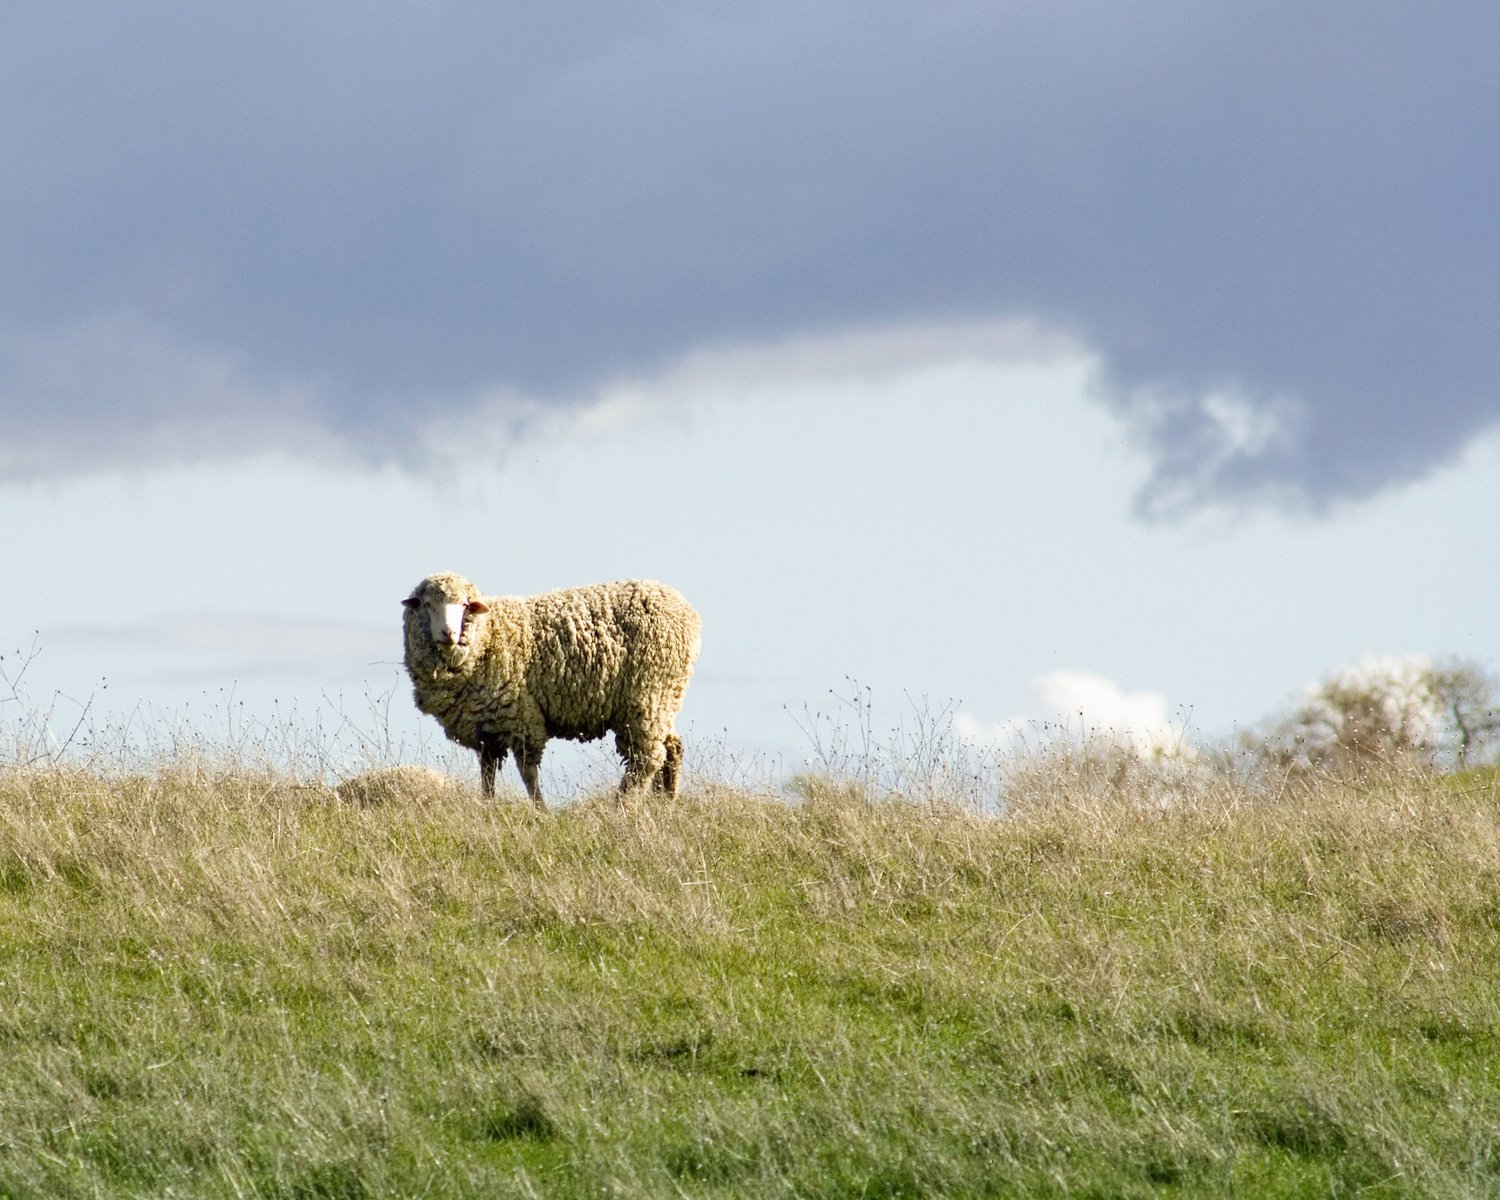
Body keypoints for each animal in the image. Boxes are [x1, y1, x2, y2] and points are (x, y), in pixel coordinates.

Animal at [399, 573, 702, 804]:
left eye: (464, 605)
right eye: (427, 604)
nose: (448, 633)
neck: (489, 637)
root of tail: (687, 610)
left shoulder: (521, 718)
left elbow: (528, 773)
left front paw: (540, 809)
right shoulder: (486, 728)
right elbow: (487, 774)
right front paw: (487, 806)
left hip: (647, 695)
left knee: (646, 758)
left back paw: (623, 805)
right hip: (662, 700)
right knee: (671, 748)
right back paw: (664, 803)